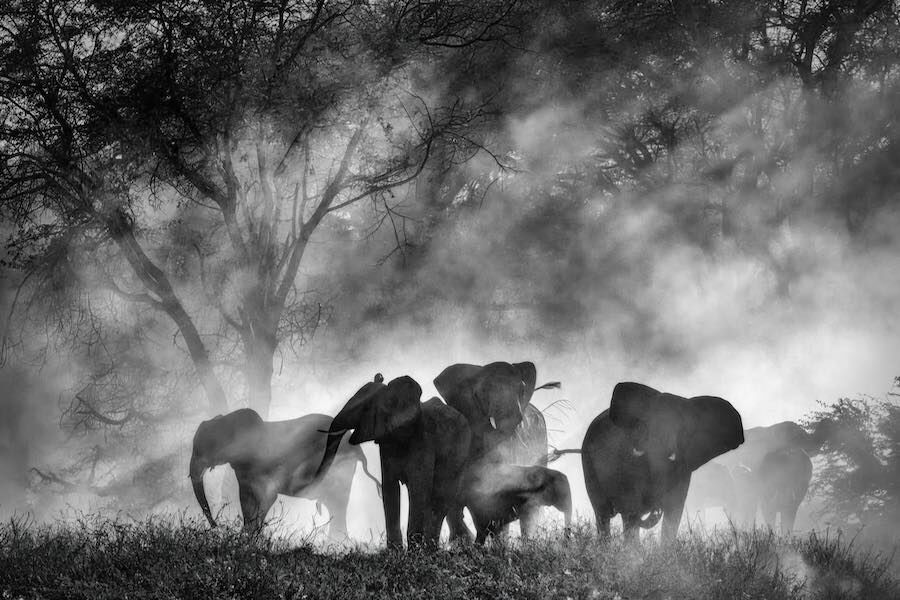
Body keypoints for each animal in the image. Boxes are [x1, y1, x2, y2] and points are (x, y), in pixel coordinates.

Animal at [189, 408, 381, 535]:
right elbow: (246, 499)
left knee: (338, 503)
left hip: (340, 467)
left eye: (204, 448)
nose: (217, 527)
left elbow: (265, 497)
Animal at [315, 374, 471, 549]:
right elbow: (390, 488)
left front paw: (414, 551)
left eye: (365, 409)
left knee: (440, 498)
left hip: (460, 456)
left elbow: (418, 489)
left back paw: (431, 549)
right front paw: (395, 551)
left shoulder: (424, 440)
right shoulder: (386, 443)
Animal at [582, 382, 744, 542]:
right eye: (647, 426)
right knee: (603, 514)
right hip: (588, 464)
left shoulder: (683, 468)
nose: (656, 507)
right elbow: (631, 508)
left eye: (683, 430)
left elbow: (674, 512)